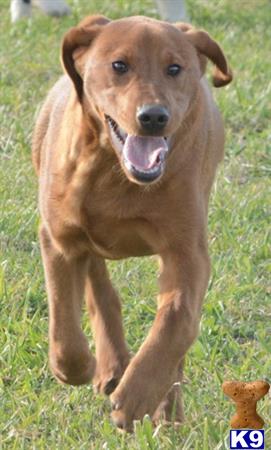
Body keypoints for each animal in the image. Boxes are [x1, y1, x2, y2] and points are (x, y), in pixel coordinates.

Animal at [31, 13, 232, 428]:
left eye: (175, 69)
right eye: (119, 66)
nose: (153, 117)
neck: (115, 172)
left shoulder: (187, 253)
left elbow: (177, 321)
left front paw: (138, 394)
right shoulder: (59, 238)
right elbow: (64, 327)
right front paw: (82, 368)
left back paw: (166, 412)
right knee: (97, 284)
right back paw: (110, 365)